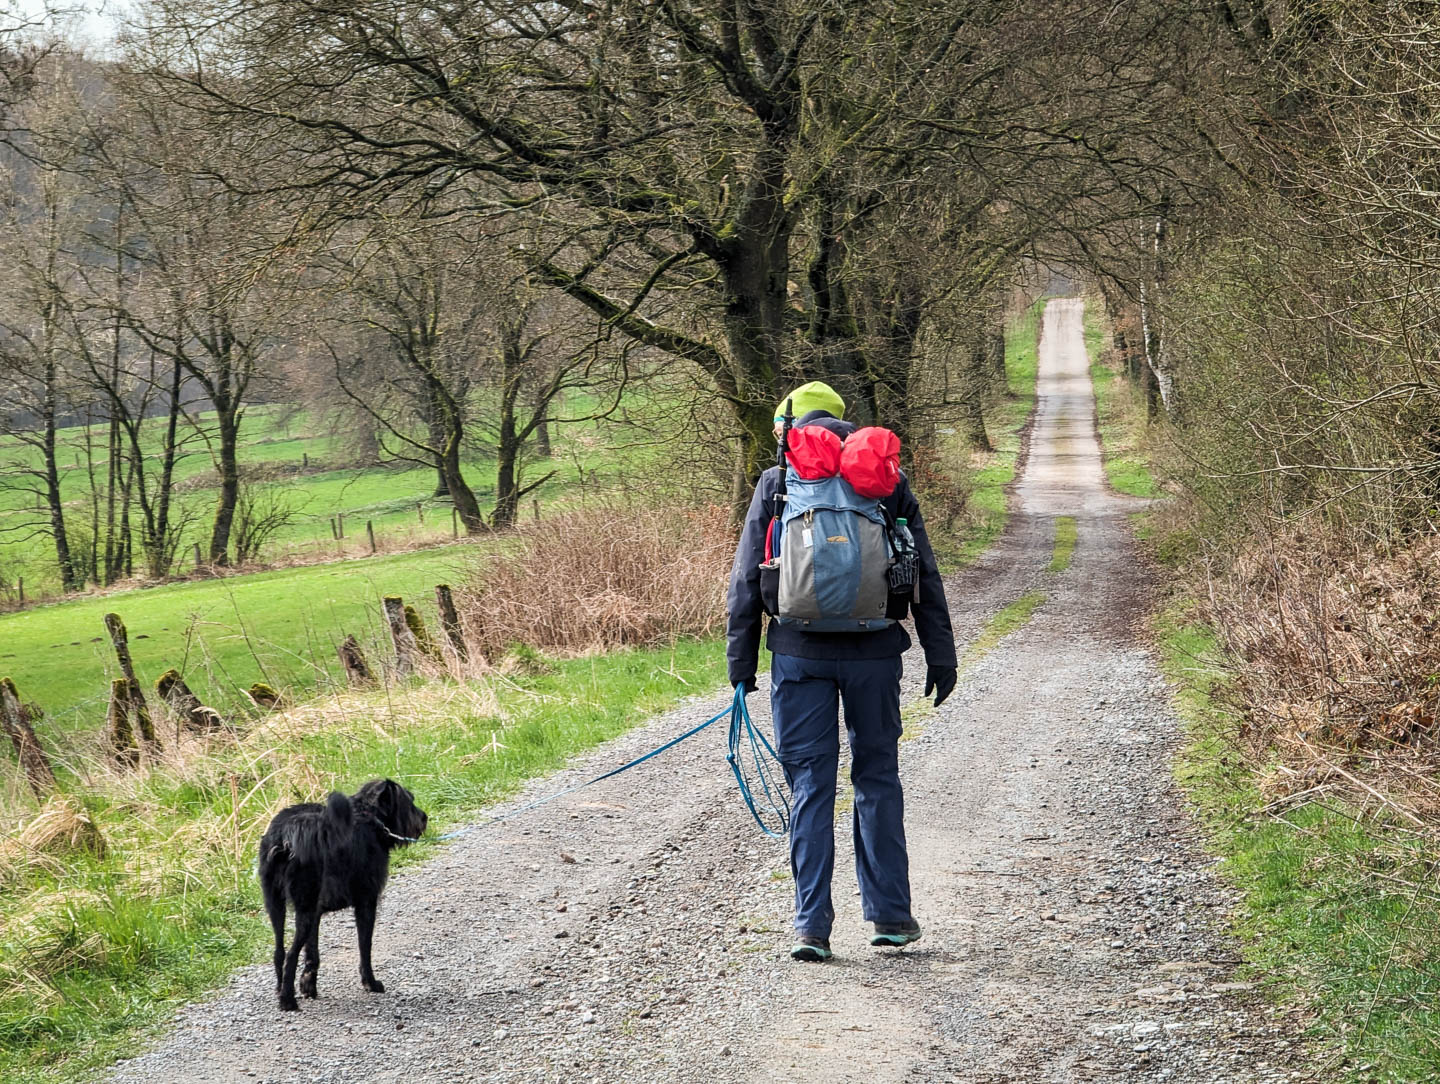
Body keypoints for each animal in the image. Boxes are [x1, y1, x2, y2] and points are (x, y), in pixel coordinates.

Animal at [257, 777, 423, 1007]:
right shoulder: (366, 902)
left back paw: (280, 990)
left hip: (276, 905)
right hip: (304, 908)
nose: (424, 818)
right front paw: (371, 982)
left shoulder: (317, 912)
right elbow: (365, 947)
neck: (369, 818)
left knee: (279, 952)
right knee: (290, 955)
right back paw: (287, 1001)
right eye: (409, 801)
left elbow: (312, 953)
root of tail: (283, 839)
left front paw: (309, 985)